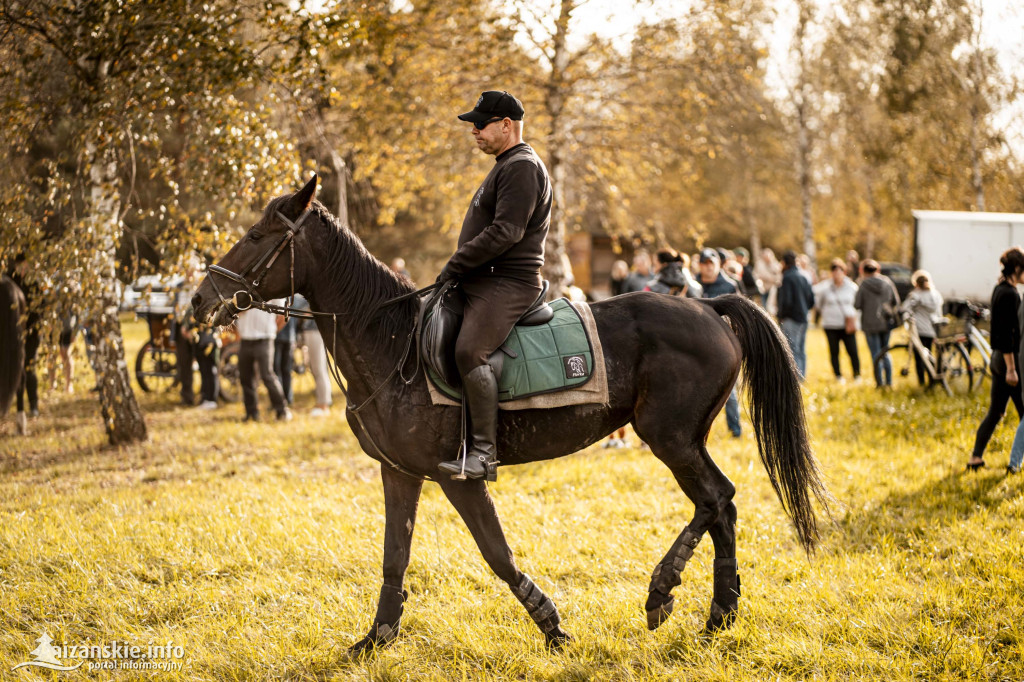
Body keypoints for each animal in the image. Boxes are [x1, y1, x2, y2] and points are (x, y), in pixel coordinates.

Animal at [192, 176, 831, 655]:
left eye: (256, 235)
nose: (200, 301)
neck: (393, 343)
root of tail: (708, 306)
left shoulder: (457, 477)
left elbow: (496, 554)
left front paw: (551, 625)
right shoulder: (399, 472)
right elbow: (394, 557)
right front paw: (376, 638)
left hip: (668, 436)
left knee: (716, 498)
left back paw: (664, 590)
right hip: (682, 438)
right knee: (719, 505)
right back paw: (718, 613)